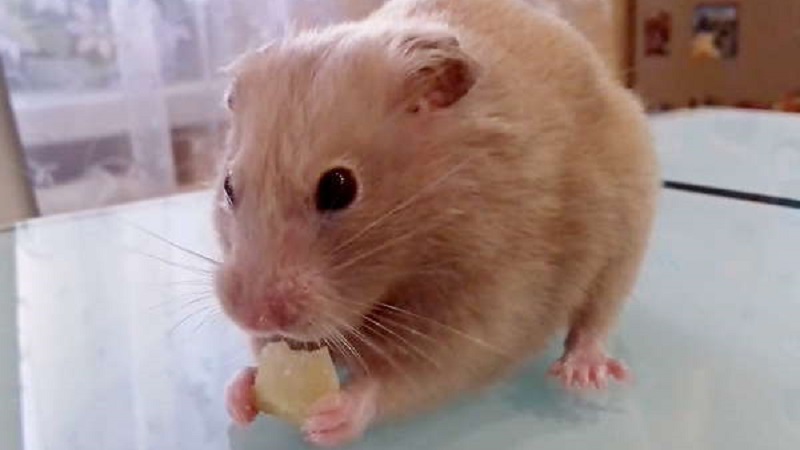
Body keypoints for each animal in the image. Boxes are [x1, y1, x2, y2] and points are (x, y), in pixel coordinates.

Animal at [214, 0, 659, 446]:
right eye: (228, 185)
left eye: (338, 188)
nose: (250, 316)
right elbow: (268, 353)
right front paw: (239, 397)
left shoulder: (489, 310)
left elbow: (410, 378)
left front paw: (330, 417)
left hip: (629, 226)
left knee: (598, 314)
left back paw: (582, 373)